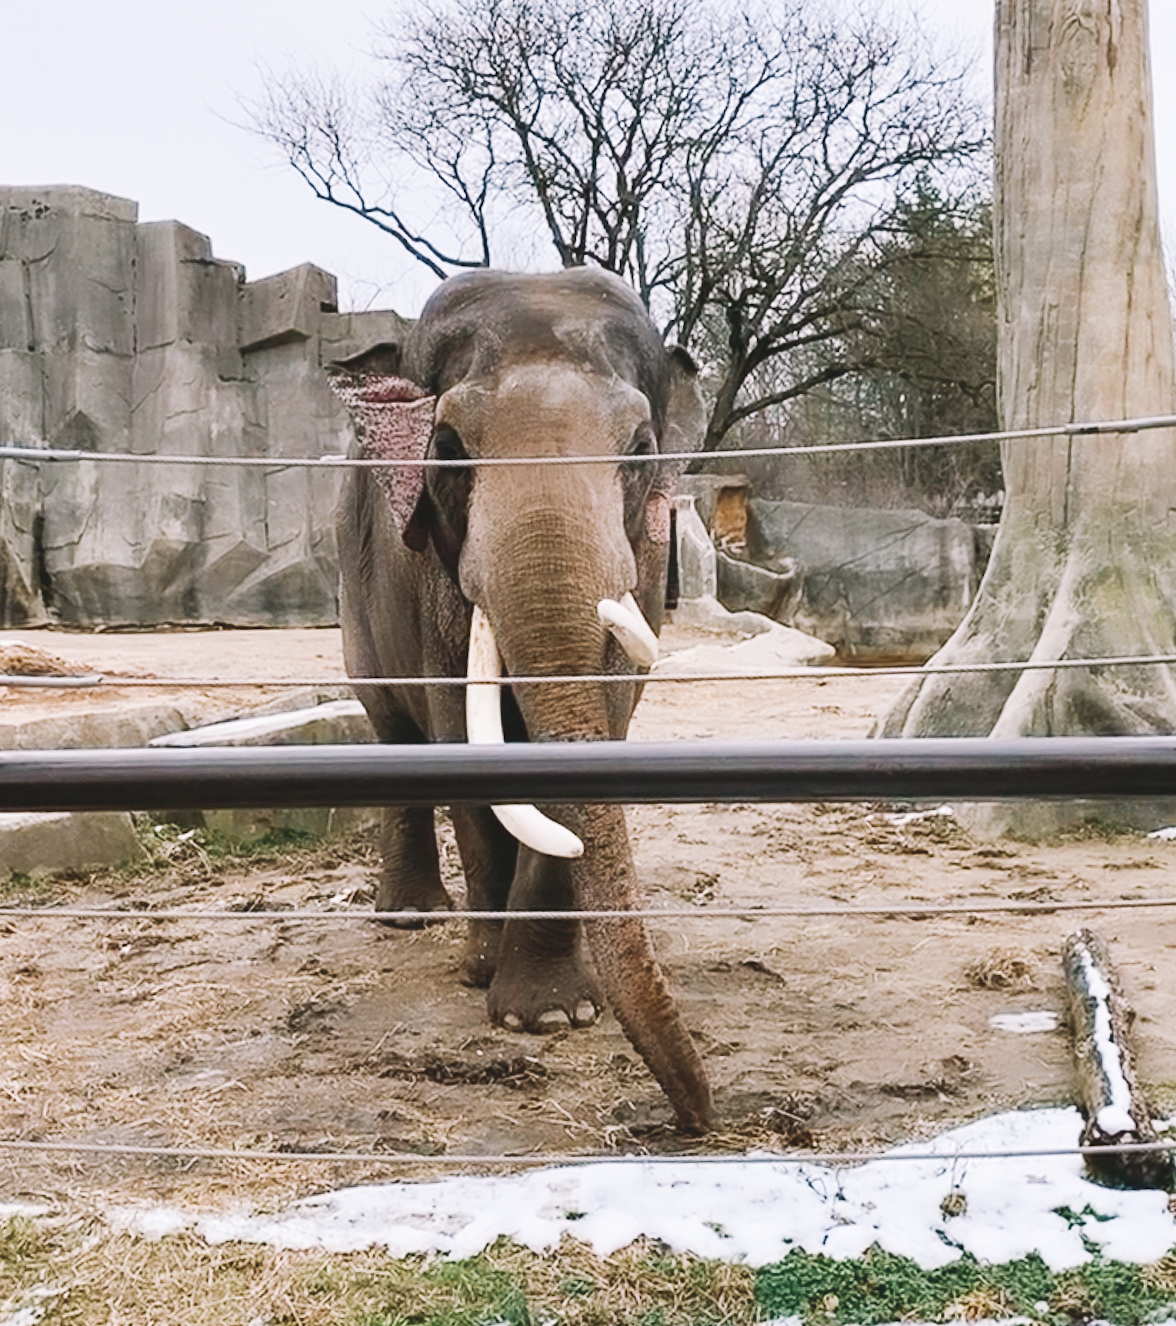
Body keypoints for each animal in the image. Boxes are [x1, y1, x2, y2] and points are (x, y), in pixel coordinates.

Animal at [335, 266, 710, 1129]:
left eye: (641, 448)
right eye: (446, 447)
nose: (699, 1118)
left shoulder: (643, 563)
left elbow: (607, 712)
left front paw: (554, 1012)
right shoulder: (427, 576)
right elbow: (455, 737)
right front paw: (487, 976)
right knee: (391, 724)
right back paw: (413, 917)